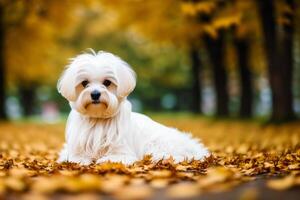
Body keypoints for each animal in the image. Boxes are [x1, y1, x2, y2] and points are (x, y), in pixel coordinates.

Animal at [57, 50, 210, 166]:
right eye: (84, 83)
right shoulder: (73, 148)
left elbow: (113, 157)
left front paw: (104, 160)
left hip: (158, 143)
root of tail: (195, 147)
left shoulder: (123, 152)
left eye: (107, 82)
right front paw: (82, 160)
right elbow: (75, 157)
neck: (98, 119)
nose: (95, 94)